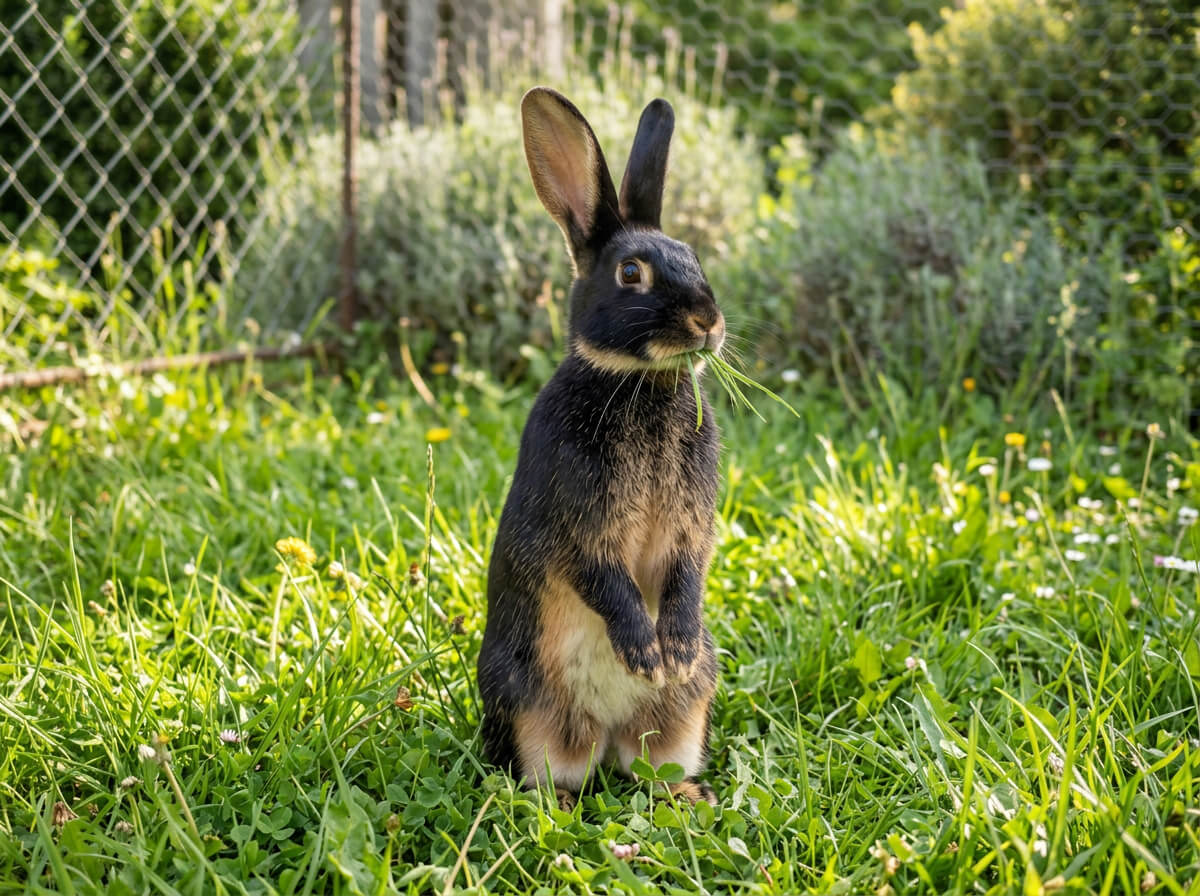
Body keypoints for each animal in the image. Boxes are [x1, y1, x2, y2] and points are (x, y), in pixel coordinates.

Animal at [477, 87, 724, 807]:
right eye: (631, 272)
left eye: (694, 256)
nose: (708, 321)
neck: (637, 380)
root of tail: (609, 736)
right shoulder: (578, 522)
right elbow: (603, 577)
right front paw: (645, 653)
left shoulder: (691, 528)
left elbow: (687, 573)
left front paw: (674, 651)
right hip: (527, 702)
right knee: (547, 773)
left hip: (684, 715)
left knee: (653, 766)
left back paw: (688, 793)